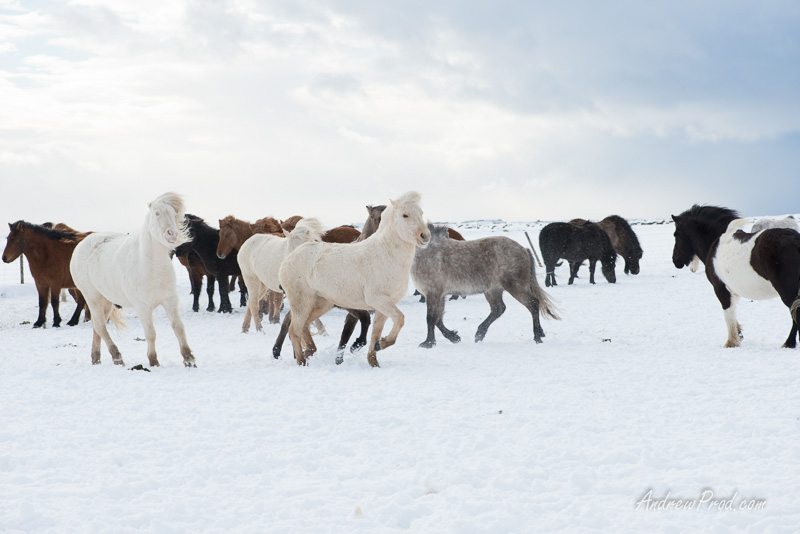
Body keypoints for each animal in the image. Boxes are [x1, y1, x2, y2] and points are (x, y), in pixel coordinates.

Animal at [70, 193, 198, 368]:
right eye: (157, 213)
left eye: (174, 214)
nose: (172, 234)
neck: (150, 266)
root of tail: (81, 245)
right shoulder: (142, 306)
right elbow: (150, 333)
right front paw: (153, 361)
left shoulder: (170, 300)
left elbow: (178, 327)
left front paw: (189, 360)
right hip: (93, 297)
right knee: (100, 326)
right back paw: (117, 357)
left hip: (106, 300)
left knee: (97, 327)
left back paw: (96, 359)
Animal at [280, 192, 432, 368]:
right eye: (405, 215)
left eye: (421, 213)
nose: (425, 236)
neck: (385, 255)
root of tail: (292, 255)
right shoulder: (378, 300)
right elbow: (400, 319)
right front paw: (383, 343)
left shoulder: (383, 306)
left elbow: (376, 333)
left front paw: (375, 359)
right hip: (301, 301)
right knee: (294, 330)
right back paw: (301, 361)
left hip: (321, 302)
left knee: (304, 325)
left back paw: (310, 351)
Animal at [672, 204, 800, 348]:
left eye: (676, 234)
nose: (675, 260)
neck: (715, 245)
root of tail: (796, 241)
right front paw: (739, 334)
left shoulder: (720, 289)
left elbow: (728, 315)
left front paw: (732, 341)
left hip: (788, 292)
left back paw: (789, 343)